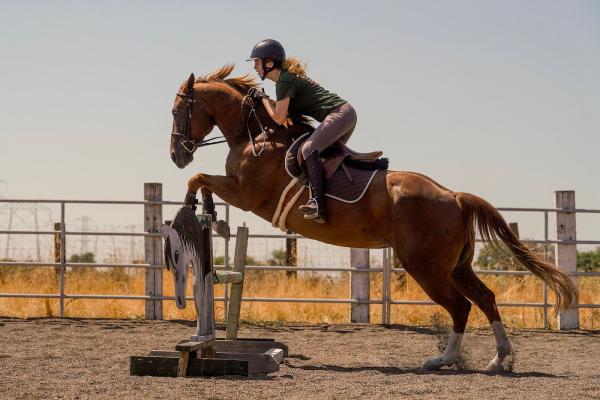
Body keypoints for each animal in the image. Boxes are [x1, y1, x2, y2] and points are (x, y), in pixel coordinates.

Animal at [168, 65, 576, 372]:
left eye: (176, 111)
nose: (176, 155)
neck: (255, 134)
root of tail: (454, 197)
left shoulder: (247, 194)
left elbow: (199, 179)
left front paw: (197, 204)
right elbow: (204, 181)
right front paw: (210, 213)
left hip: (426, 267)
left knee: (460, 306)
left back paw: (442, 360)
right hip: (456, 266)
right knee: (486, 298)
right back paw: (499, 360)